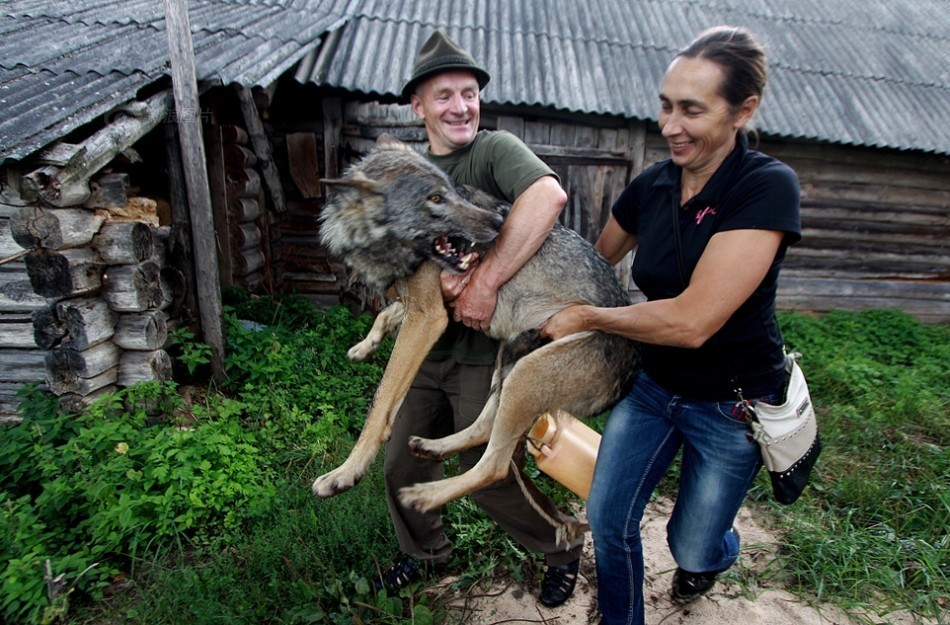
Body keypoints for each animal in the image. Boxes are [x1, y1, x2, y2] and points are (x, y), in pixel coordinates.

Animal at [314, 134, 640, 528]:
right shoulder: (424, 306)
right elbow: (385, 316)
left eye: (450, 192)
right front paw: (364, 347)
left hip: (526, 375)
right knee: (485, 429)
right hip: (511, 361)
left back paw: (425, 495)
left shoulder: (428, 317)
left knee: (495, 467)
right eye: (435, 198)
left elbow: (381, 401)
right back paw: (433, 446)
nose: (501, 220)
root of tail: (632, 369)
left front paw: (345, 473)